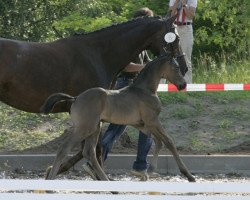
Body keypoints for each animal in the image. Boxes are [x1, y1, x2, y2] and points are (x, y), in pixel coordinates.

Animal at [42, 54, 195, 181]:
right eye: (176, 67)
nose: (183, 84)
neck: (145, 90)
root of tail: (75, 99)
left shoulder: (142, 125)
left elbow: (158, 142)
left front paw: (150, 170)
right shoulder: (152, 121)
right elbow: (169, 142)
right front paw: (189, 175)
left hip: (95, 128)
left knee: (89, 152)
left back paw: (106, 181)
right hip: (84, 128)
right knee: (64, 148)